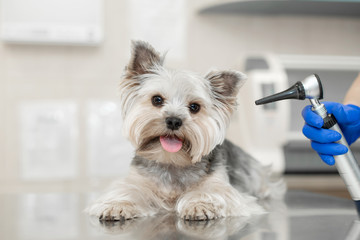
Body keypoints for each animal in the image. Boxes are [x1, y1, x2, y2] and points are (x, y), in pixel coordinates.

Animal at [86, 40, 282, 221]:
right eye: (157, 100)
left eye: (194, 107)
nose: (174, 121)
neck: (172, 161)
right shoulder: (137, 179)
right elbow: (127, 190)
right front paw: (118, 205)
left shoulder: (224, 188)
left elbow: (214, 192)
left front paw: (200, 204)